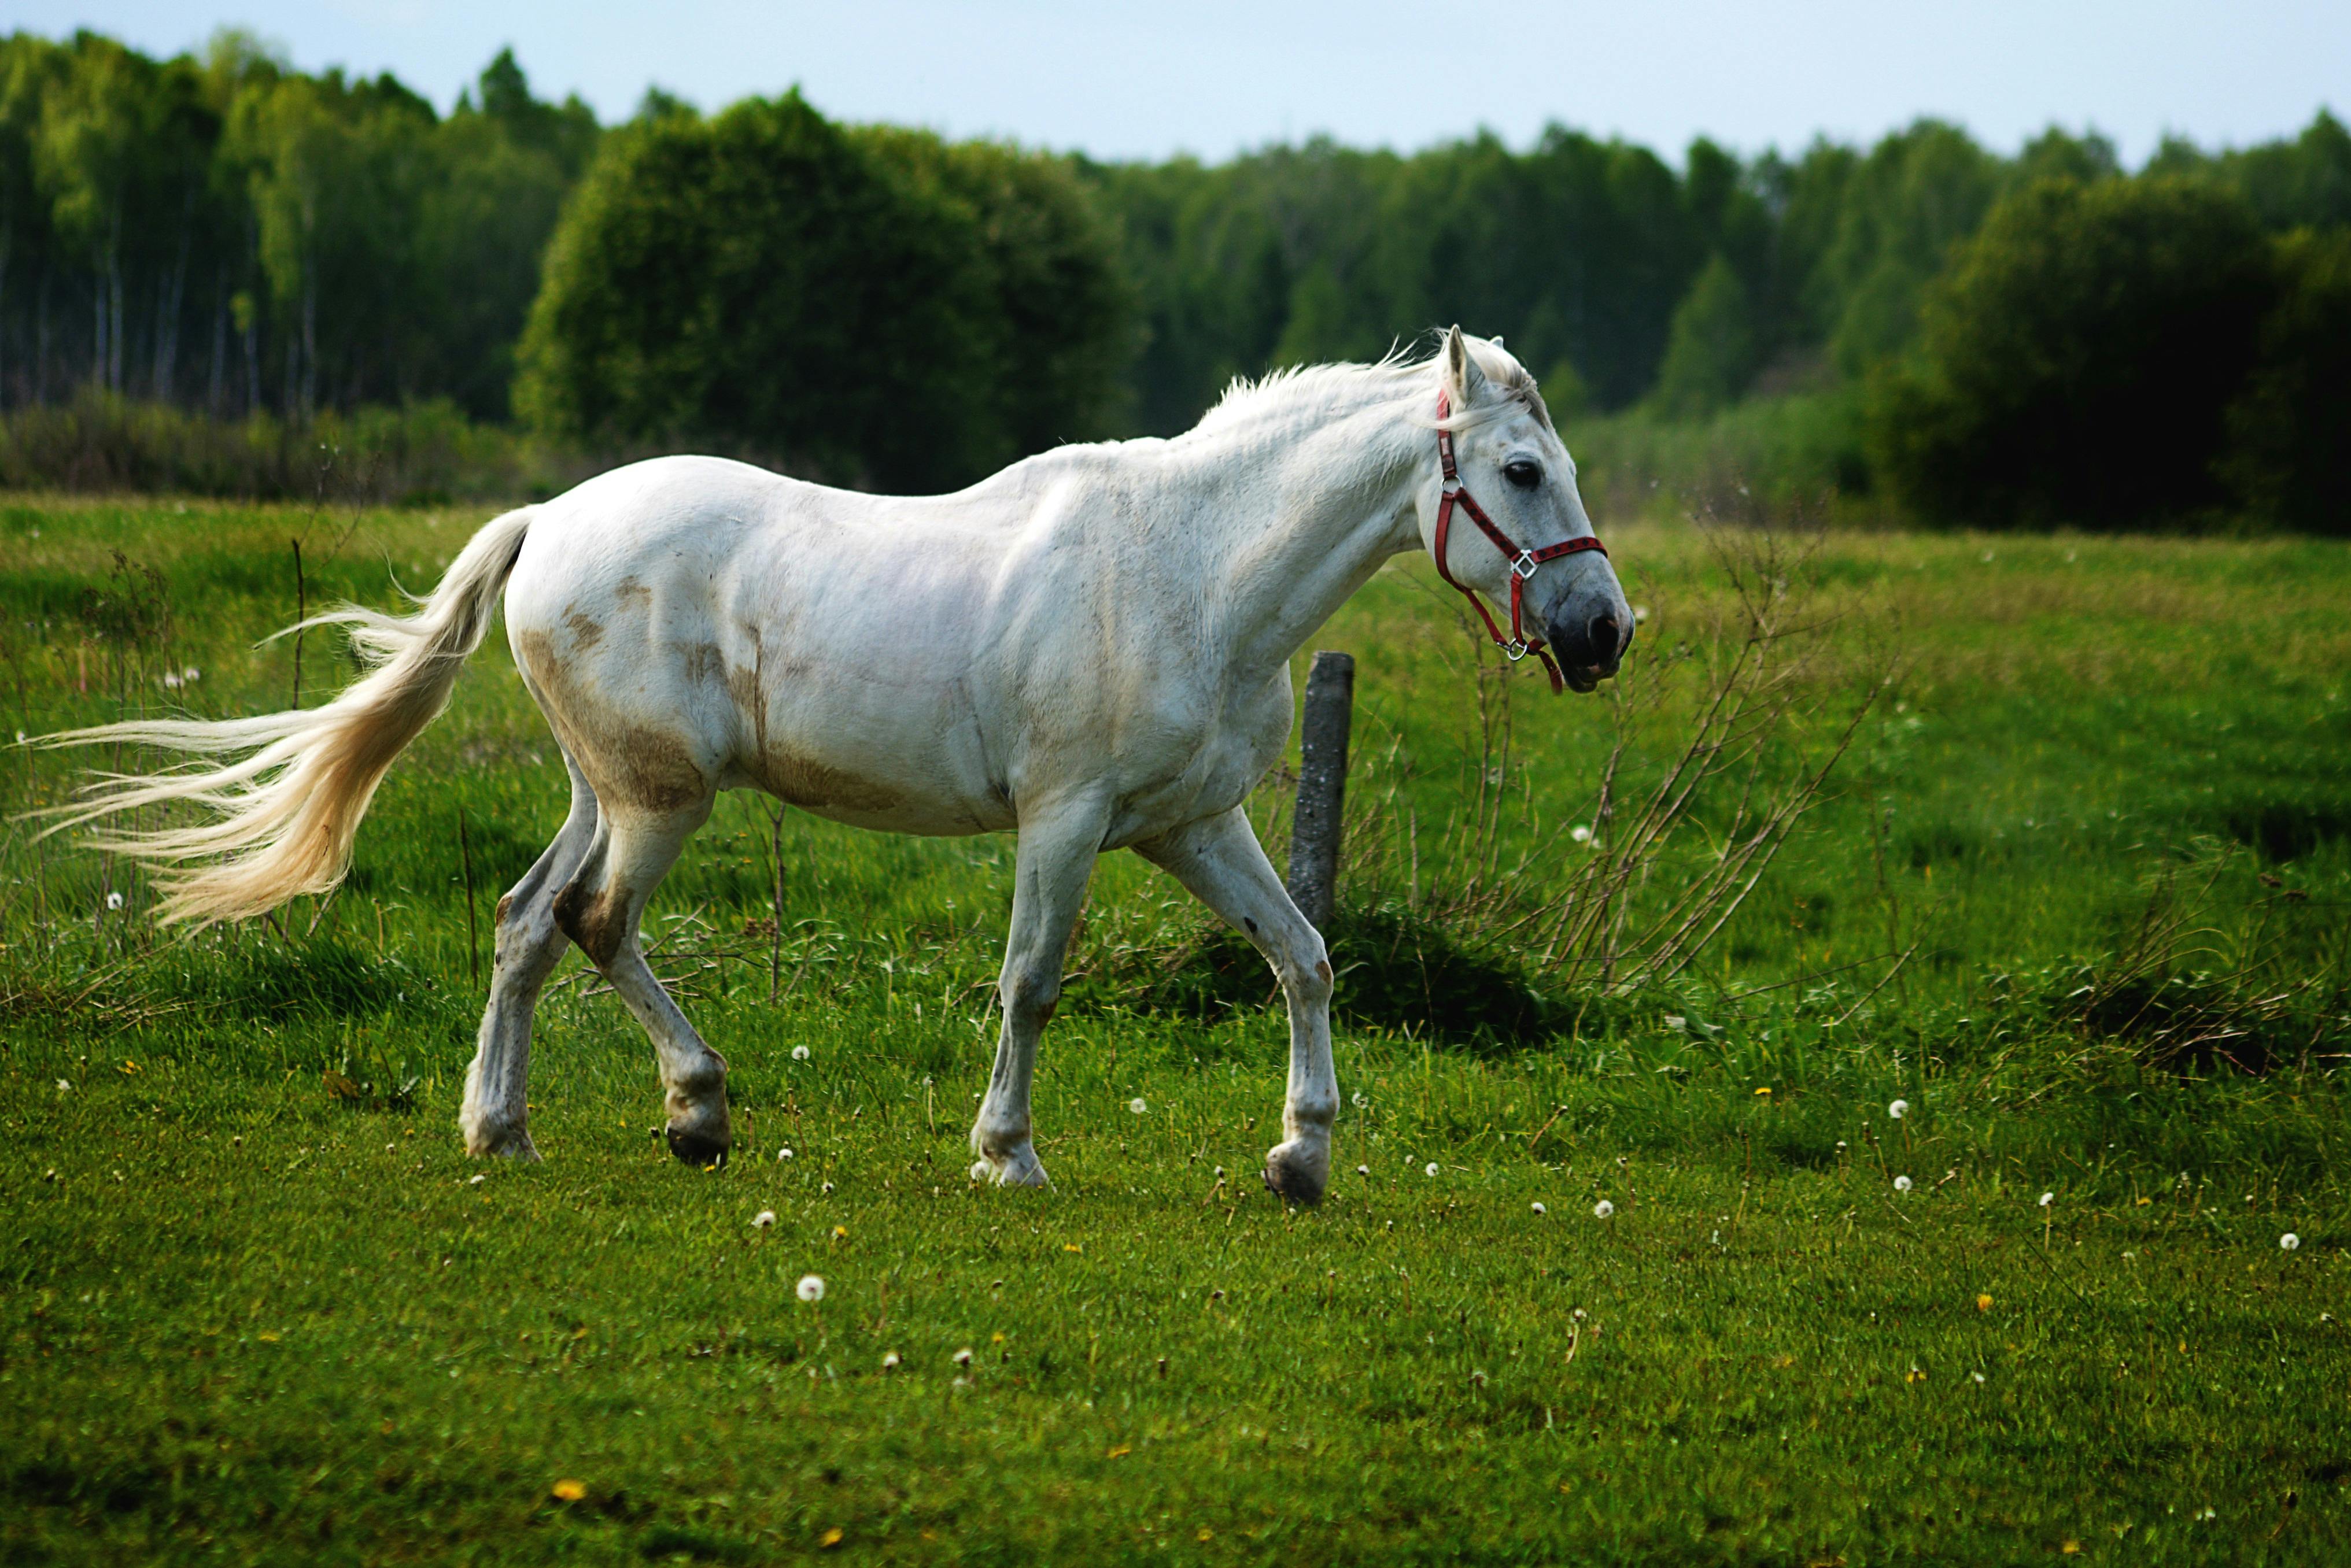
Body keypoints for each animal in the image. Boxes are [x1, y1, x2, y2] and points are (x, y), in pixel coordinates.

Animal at [55, 331, 1636, 1203]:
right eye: (1517, 473)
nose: (1600, 631)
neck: (1189, 570)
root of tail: (546, 520)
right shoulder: (1064, 822)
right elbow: (1030, 983)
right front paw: (1007, 1154)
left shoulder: (1191, 824)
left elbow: (1302, 957)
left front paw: (1300, 1159)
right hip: (660, 801)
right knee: (592, 925)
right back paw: (695, 1110)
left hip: (604, 790)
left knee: (522, 925)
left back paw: (498, 1129)